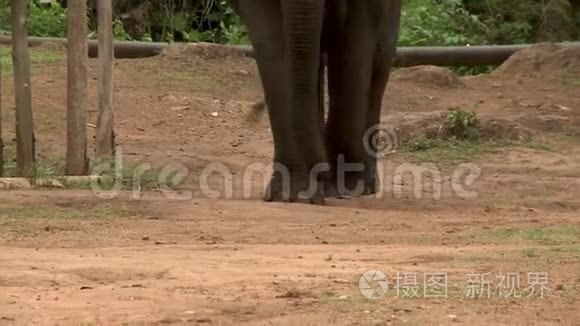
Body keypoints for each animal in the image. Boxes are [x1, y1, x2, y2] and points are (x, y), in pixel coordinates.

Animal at [229, 0, 402, 204]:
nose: (322, 170)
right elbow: (271, 40)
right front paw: (292, 195)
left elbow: (354, 41)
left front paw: (343, 187)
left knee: (379, 64)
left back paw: (361, 186)